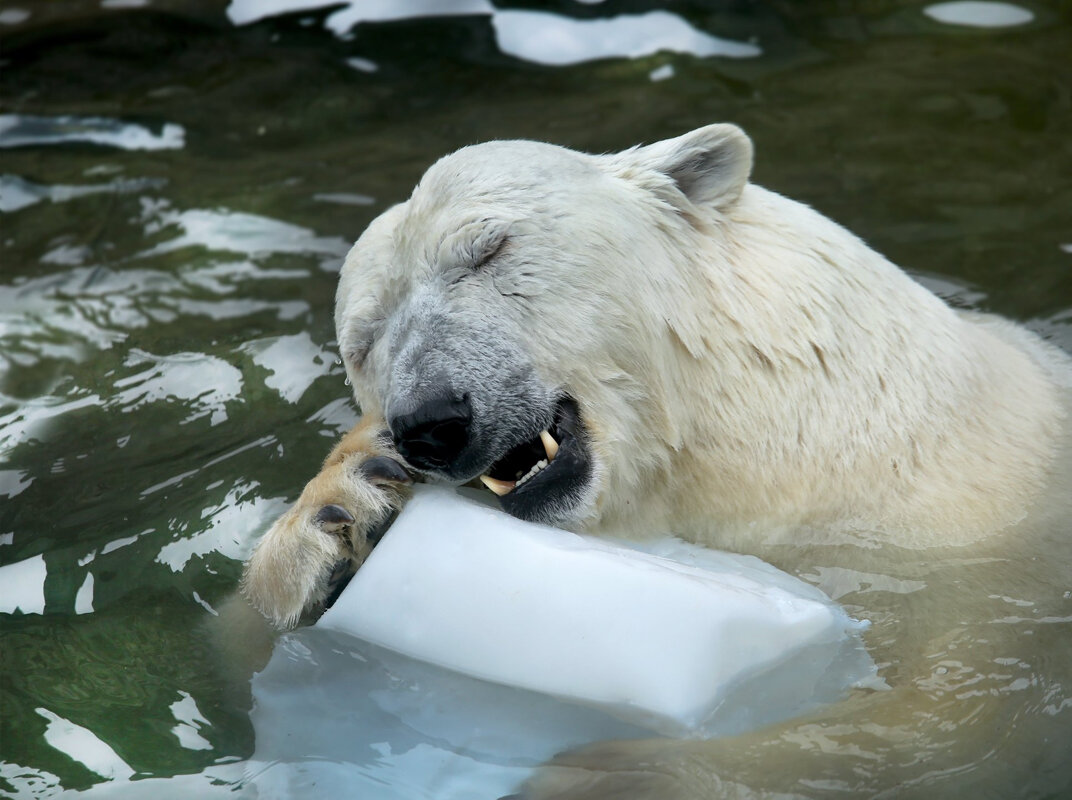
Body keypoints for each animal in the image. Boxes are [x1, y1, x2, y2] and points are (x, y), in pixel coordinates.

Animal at [236, 121, 1072, 793]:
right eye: (364, 338)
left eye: (488, 249)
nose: (430, 421)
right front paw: (347, 505)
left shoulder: (959, 539)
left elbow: (932, 722)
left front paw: (602, 775)